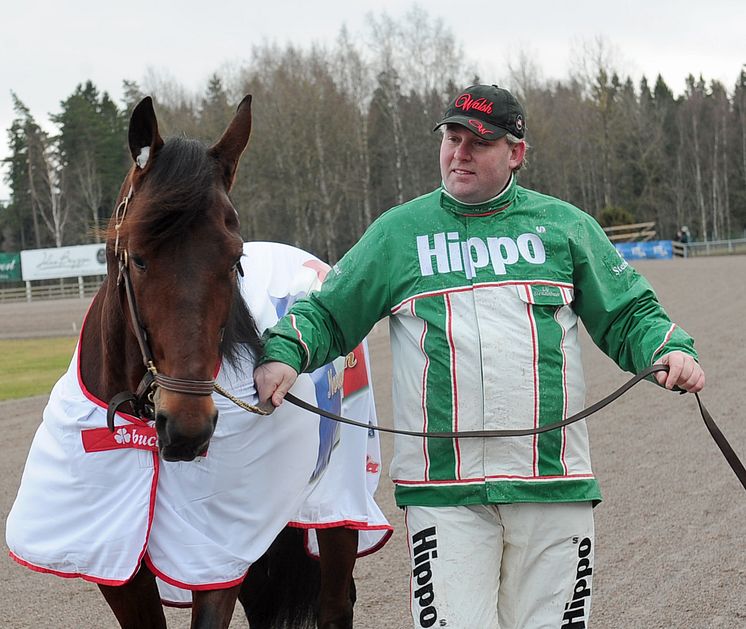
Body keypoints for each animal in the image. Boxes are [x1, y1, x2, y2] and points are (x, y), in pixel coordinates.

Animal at [53, 97, 358, 628]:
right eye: (138, 257)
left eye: (234, 259)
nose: (187, 428)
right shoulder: (116, 567)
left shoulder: (214, 554)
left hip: (336, 506)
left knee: (335, 603)